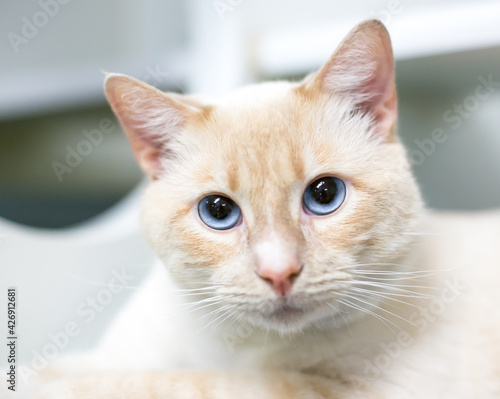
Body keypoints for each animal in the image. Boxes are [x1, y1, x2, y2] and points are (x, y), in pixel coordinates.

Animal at [31, 19, 500, 399]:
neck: (237, 346)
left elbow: (171, 382)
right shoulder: (120, 349)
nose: (279, 273)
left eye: (324, 195)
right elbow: (86, 365)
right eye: (218, 210)